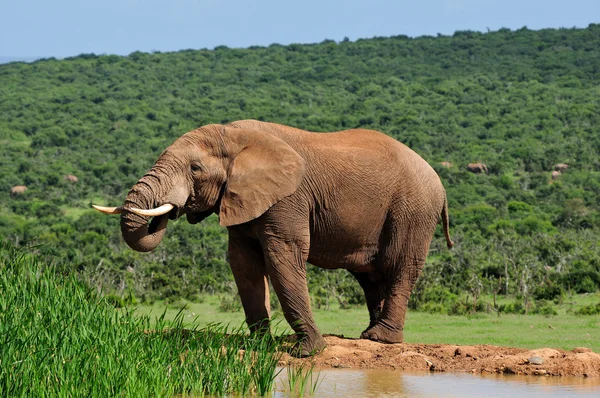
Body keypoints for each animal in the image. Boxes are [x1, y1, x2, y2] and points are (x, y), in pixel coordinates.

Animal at [94, 119, 452, 356]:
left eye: (195, 169)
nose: (169, 210)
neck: (235, 136)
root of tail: (439, 180)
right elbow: (243, 264)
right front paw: (260, 343)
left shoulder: (288, 199)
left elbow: (283, 258)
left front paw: (309, 352)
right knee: (370, 276)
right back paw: (367, 336)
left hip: (413, 211)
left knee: (399, 268)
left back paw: (380, 339)